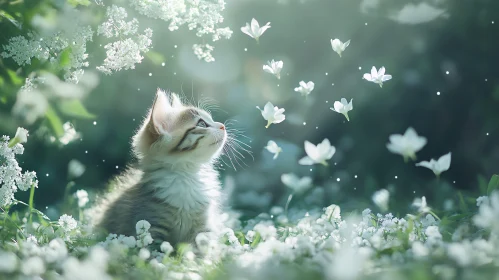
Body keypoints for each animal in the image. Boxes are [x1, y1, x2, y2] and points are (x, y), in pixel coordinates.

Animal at [92, 89, 227, 245]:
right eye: (202, 124)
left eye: (211, 119)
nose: (223, 126)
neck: (186, 175)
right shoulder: (151, 223)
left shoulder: (203, 228)